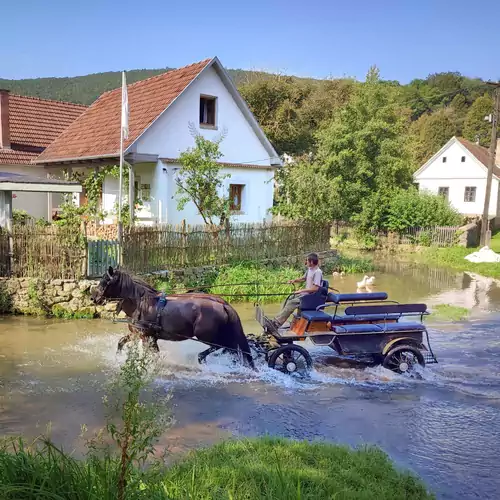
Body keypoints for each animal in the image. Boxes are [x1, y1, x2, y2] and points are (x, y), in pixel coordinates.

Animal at [91, 268, 254, 370]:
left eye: (105, 282)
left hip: (206, 335)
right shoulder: (140, 335)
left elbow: (152, 356)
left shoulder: (146, 337)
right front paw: (118, 359)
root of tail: (223, 304)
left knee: (222, 346)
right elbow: (121, 342)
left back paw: (201, 358)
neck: (141, 304)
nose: (93, 298)